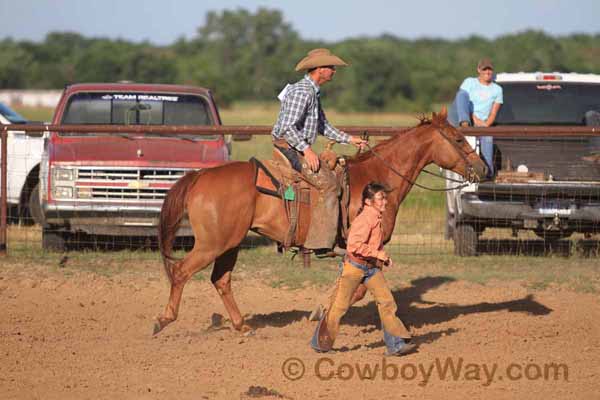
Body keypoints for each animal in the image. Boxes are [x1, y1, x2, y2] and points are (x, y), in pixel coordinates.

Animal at [155, 108, 488, 334]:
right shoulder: (362, 245)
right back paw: (164, 319)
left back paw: (242, 326)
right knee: (182, 271)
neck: (377, 180)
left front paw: (320, 310)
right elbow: (357, 289)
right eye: (459, 138)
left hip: (229, 244)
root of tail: (200, 177)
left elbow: (349, 285)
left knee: (220, 280)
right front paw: (323, 312)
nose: (484, 168)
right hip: (213, 243)